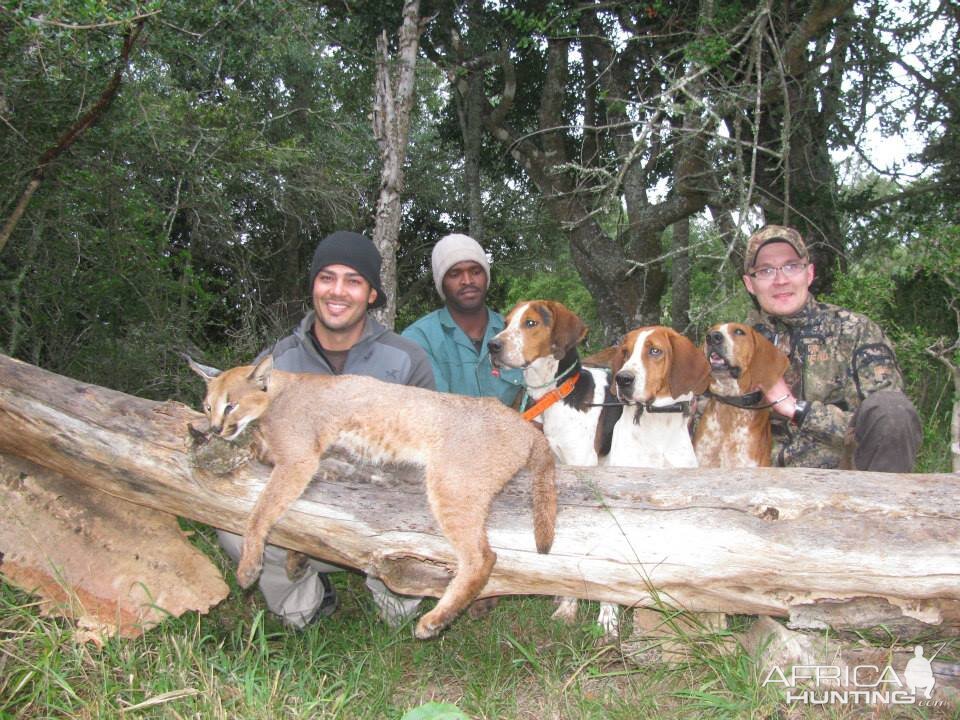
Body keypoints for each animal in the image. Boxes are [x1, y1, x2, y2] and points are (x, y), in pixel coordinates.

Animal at [187, 352, 556, 640]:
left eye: (230, 405)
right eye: (207, 406)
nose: (215, 427)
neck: (278, 393)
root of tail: (522, 423)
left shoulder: (297, 460)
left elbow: (260, 511)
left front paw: (249, 568)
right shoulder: (315, 461)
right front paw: (296, 560)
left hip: (450, 483)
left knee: (483, 557)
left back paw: (434, 622)